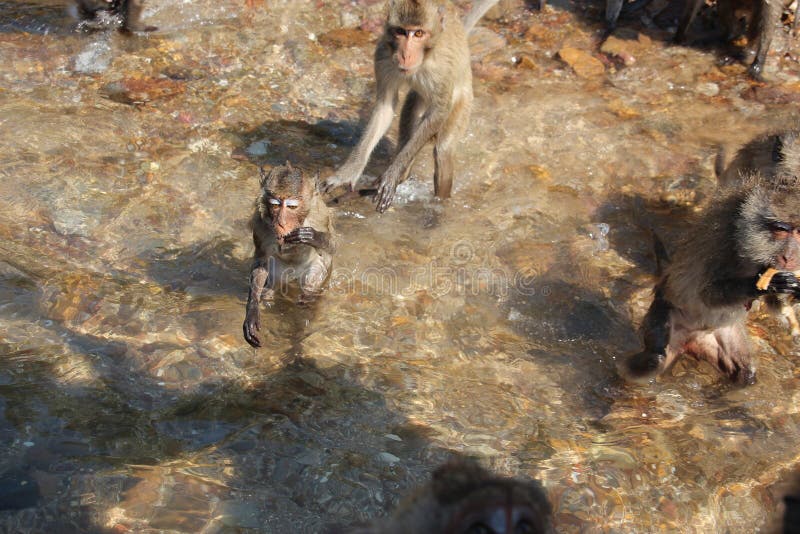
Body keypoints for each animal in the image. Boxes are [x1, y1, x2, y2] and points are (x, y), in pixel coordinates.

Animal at [241, 161, 334, 350]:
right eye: (275, 205)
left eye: (291, 206)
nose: (281, 223)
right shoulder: (260, 223)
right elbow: (261, 260)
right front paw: (252, 310)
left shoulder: (320, 215)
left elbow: (331, 247)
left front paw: (312, 236)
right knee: (270, 287)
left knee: (310, 288)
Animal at [320, 0, 500, 214]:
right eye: (401, 32)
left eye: (419, 33)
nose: (405, 55)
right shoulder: (383, 56)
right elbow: (385, 107)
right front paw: (349, 173)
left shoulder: (442, 67)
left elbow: (439, 110)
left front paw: (391, 175)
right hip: (416, 99)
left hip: (464, 103)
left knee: (443, 150)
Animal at [624, 178, 800, 388]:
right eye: (781, 229)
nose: (789, 257)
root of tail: (690, 338)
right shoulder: (725, 244)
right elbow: (707, 294)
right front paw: (761, 284)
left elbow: (776, 303)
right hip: (666, 312)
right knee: (653, 360)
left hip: (719, 335)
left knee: (745, 374)